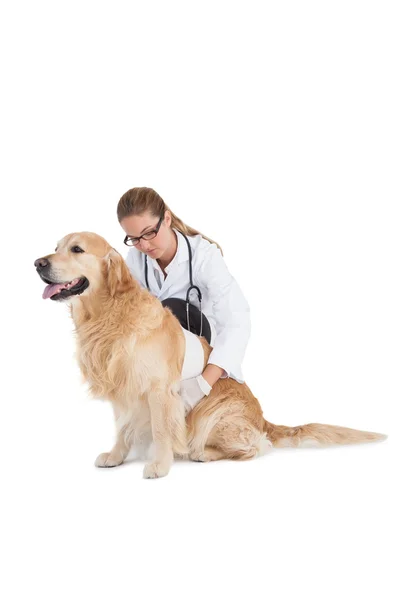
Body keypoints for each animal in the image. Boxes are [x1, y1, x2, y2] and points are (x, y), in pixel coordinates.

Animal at [35, 233, 388, 478]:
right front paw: (116, 455)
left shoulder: (160, 391)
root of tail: (263, 419)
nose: (38, 263)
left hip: (213, 412)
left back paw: (203, 452)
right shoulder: (123, 386)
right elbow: (122, 426)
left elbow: (161, 429)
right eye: (56, 246)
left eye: (77, 249)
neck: (109, 316)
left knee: (255, 446)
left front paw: (159, 464)